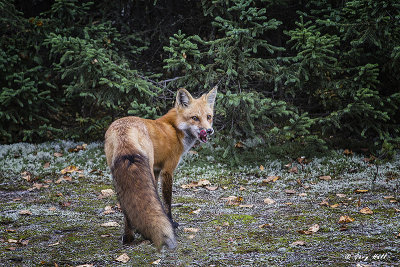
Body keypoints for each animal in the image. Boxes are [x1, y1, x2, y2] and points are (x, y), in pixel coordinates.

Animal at [103, 86, 216, 251]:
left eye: (209, 117)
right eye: (195, 118)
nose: (209, 131)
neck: (175, 129)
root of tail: (125, 131)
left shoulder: (156, 171)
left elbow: (154, 197)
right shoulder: (167, 169)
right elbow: (167, 201)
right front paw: (171, 222)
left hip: (119, 174)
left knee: (126, 204)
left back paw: (129, 236)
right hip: (146, 168)